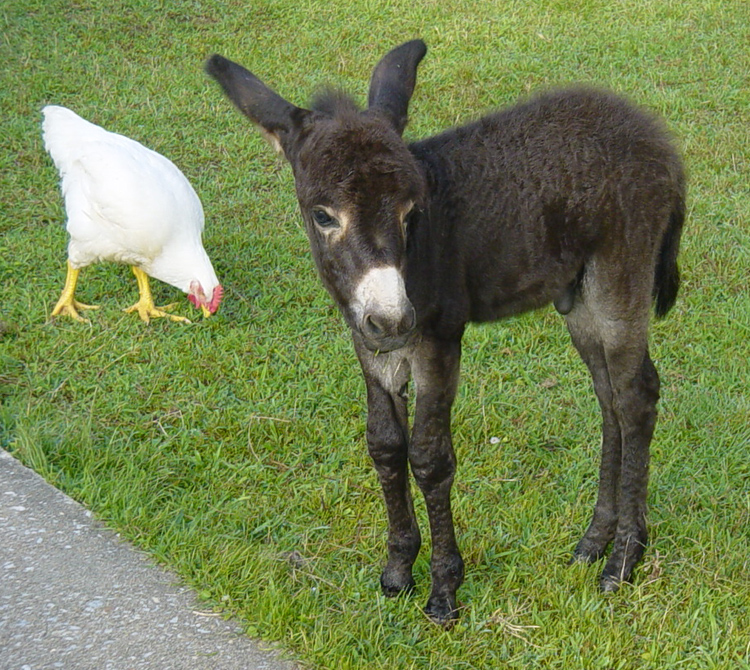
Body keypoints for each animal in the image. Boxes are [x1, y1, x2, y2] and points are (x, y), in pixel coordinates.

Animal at [206, 39, 688, 628]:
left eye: (412, 211)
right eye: (322, 216)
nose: (392, 319)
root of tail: (656, 136)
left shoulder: (438, 341)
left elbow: (430, 458)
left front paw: (442, 592)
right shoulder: (368, 346)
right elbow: (384, 446)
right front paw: (396, 570)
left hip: (620, 278)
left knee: (637, 397)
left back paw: (623, 561)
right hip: (579, 302)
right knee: (610, 400)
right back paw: (594, 542)